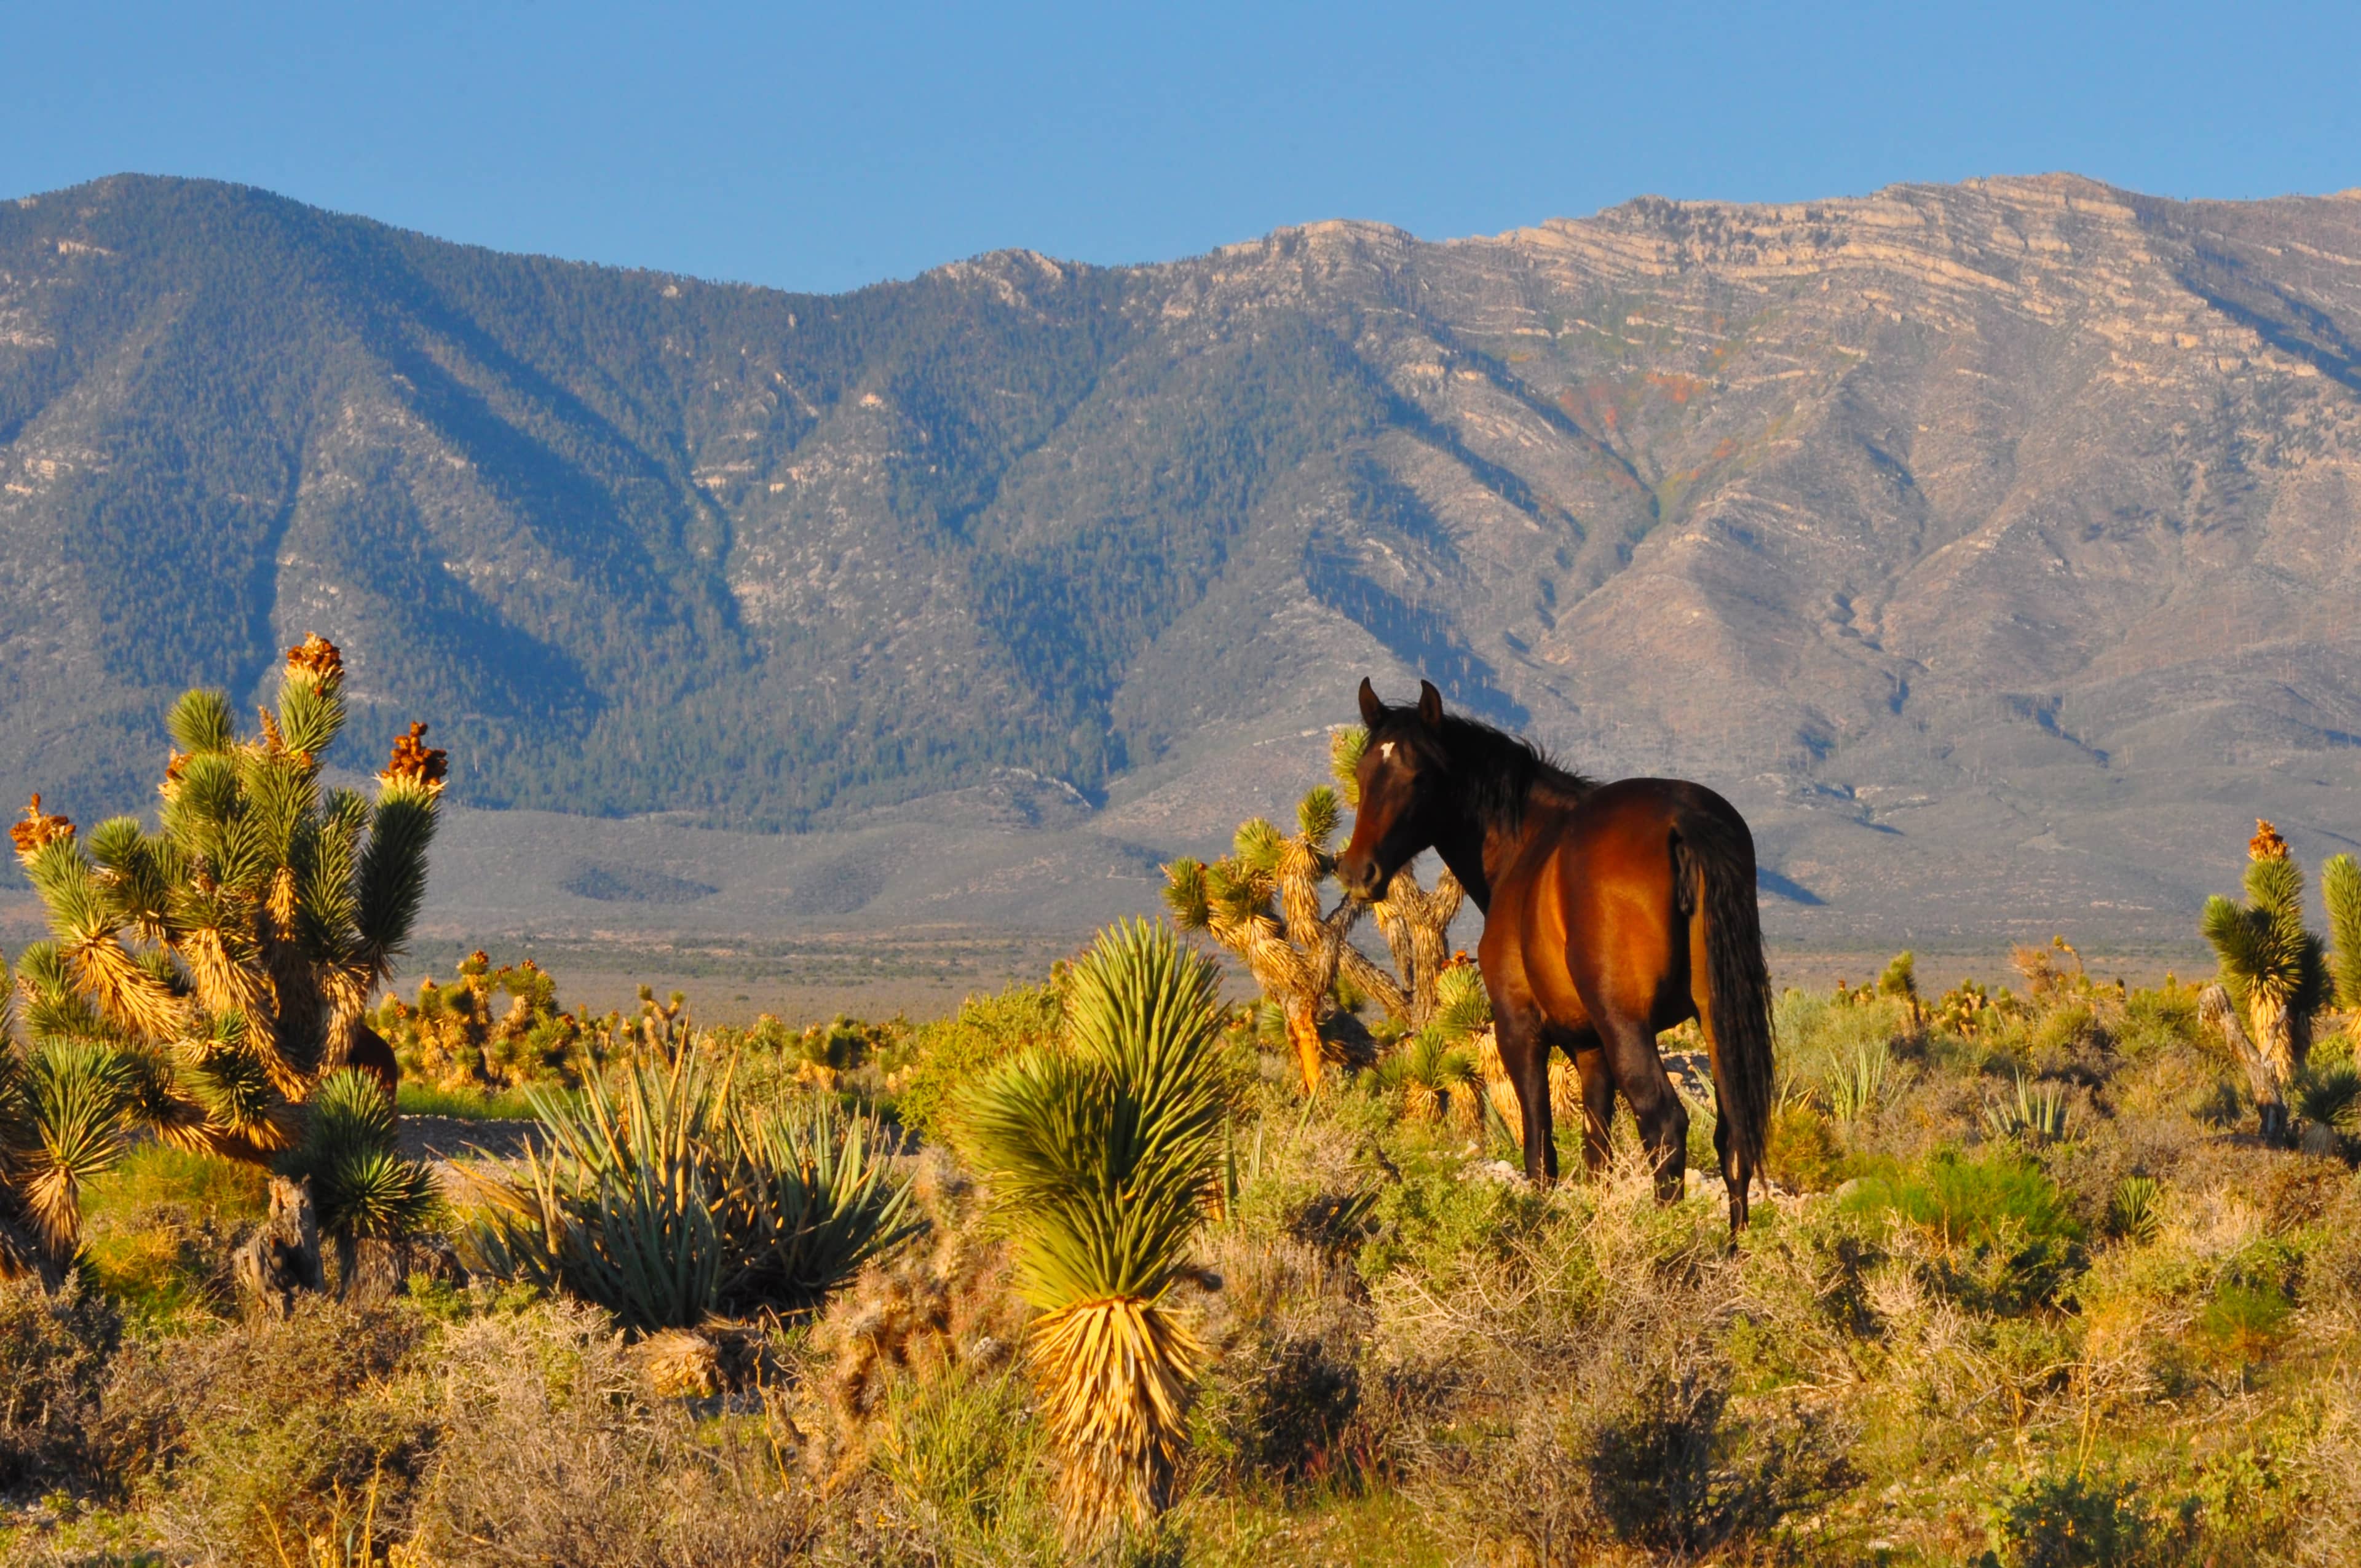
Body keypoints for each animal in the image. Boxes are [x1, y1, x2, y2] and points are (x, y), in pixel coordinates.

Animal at [1334, 679, 1775, 1230]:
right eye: (1362, 774)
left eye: (1419, 776)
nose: (1358, 872)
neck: (1527, 843)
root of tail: (1683, 819)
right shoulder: (1592, 1050)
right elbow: (1596, 1155)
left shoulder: (1519, 1030)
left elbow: (1540, 1152)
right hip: (1715, 1021)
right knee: (1732, 1138)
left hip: (1628, 1027)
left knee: (1665, 1124)